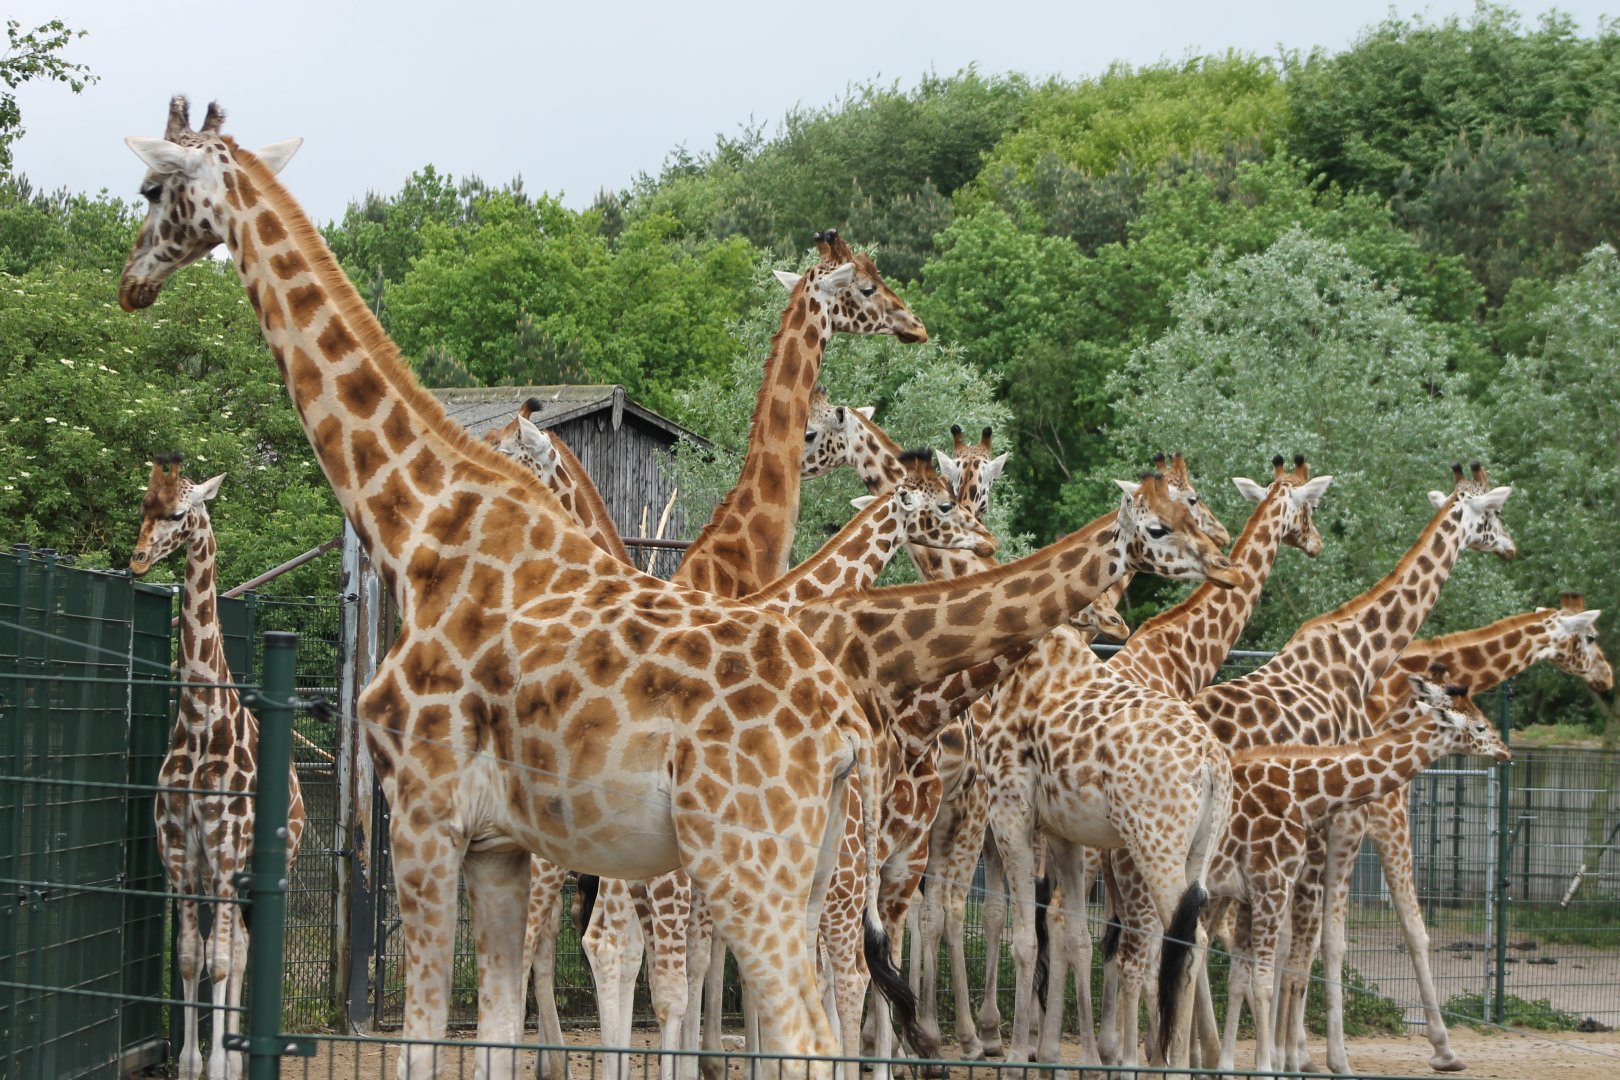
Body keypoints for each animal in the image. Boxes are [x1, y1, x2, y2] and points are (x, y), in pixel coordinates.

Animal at [129, 456, 306, 1080]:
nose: (136, 559)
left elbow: (225, 961)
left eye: (178, 513)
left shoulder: (228, 851)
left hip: (264, 867)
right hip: (214, 874)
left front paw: (218, 1065)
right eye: (143, 507)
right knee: (228, 948)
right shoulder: (180, 851)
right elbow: (189, 958)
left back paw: (238, 1055)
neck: (203, 722)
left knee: (245, 950)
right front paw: (190, 1063)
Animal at [1206, 674, 1511, 1072]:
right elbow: (1309, 955)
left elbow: (1256, 970)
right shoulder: (1286, 876)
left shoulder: (1256, 888)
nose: (1506, 751)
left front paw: (1249, 1064)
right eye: (1479, 726)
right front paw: (1297, 1064)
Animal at [1284, 592, 1611, 1075]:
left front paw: (1309, 1052)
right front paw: (1444, 1049)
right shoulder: (1385, 818)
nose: (1607, 678)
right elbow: (1413, 930)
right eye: (1590, 637)